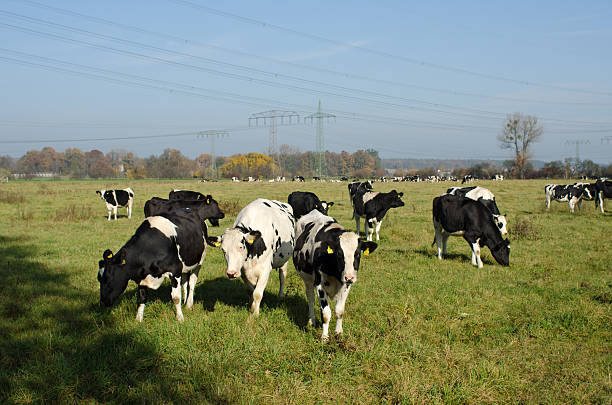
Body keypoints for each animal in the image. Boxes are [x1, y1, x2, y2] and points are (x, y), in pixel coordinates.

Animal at [292, 210, 378, 340]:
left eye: (358, 254)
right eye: (339, 254)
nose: (350, 277)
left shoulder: (346, 285)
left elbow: (340, 311)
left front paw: (339, 333)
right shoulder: (319, 284)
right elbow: (326, 313)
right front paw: (324, 337)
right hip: (307, 278)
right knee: (310, 296)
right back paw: (312, 320)